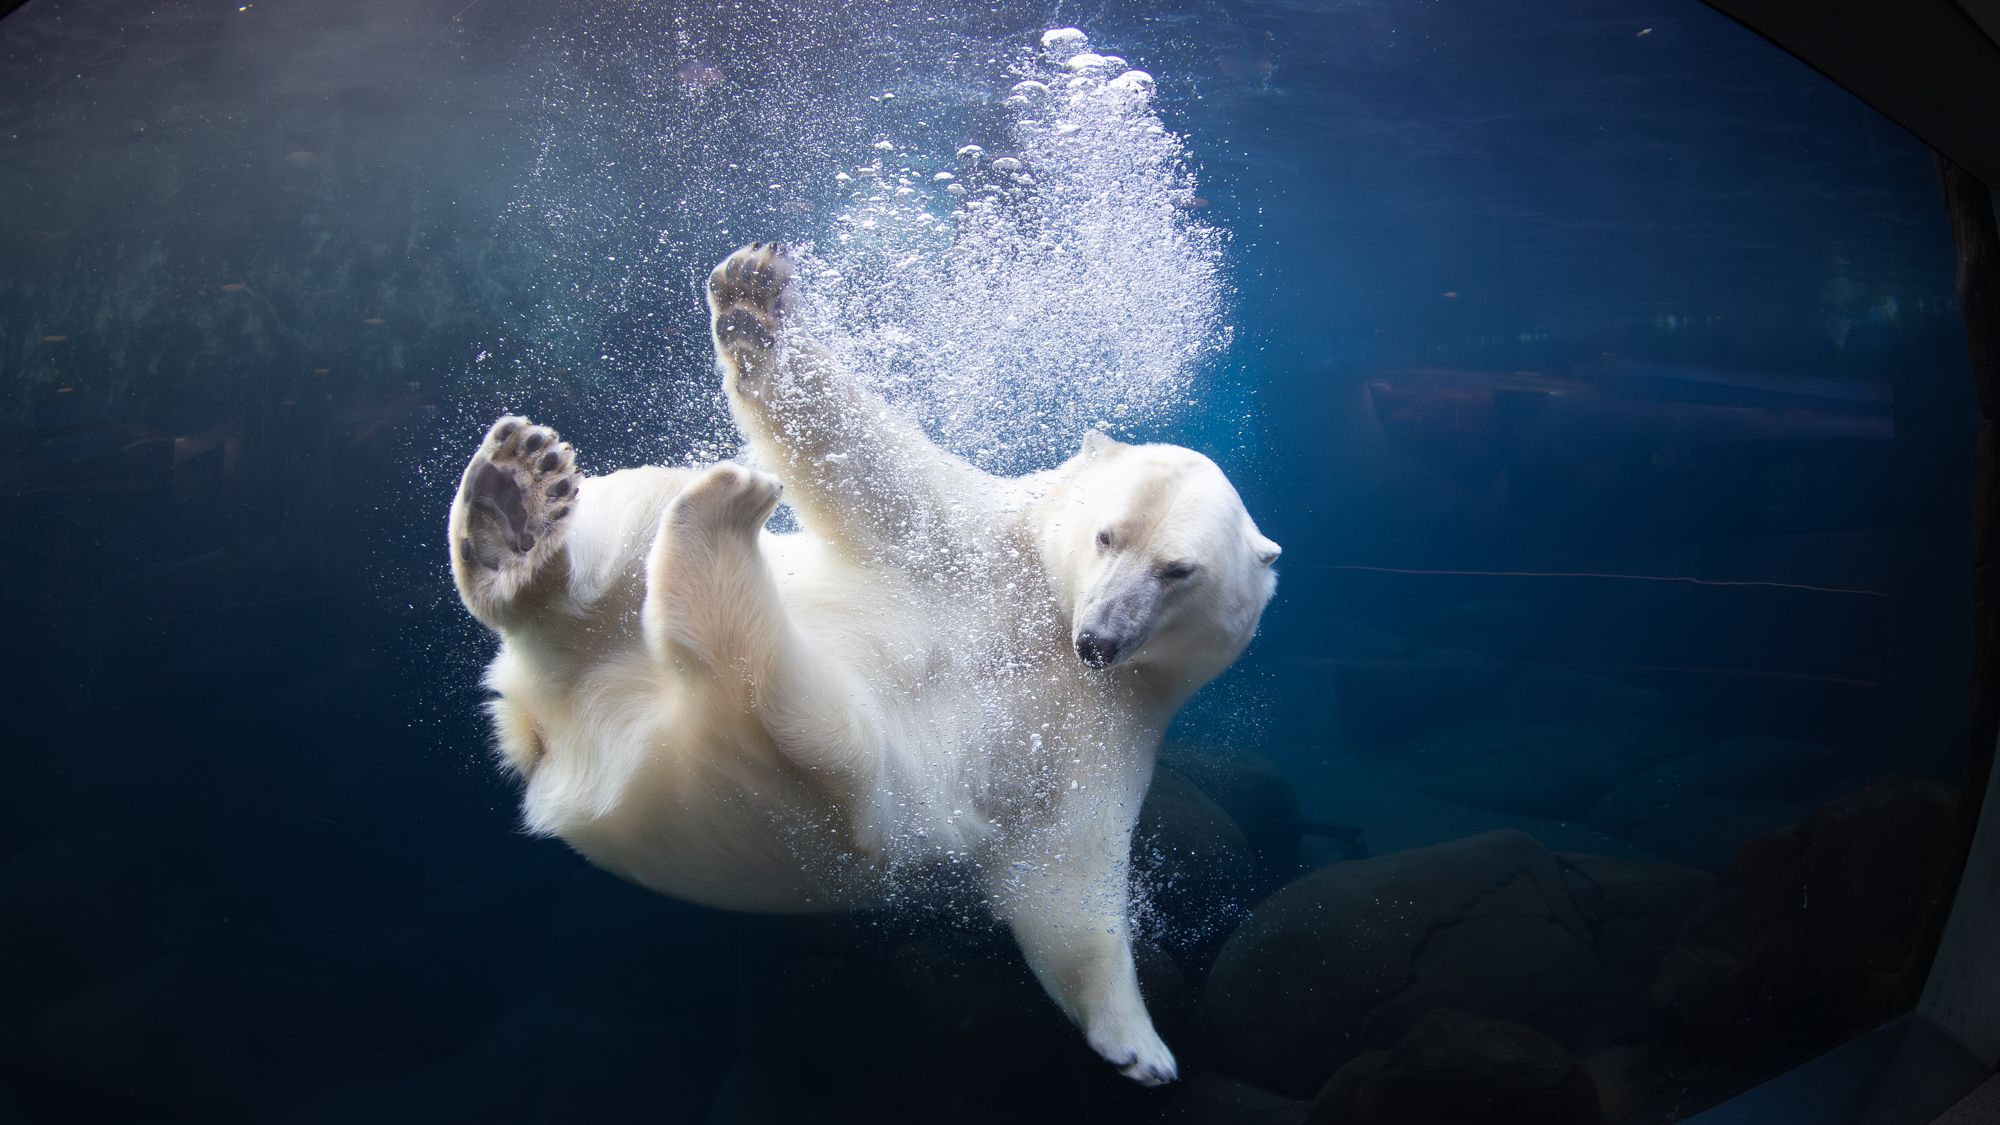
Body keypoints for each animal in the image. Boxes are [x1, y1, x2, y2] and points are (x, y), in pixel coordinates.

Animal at [446, 243, 1281, 1085]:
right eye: (1107, 534)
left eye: (1178, 570)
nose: (1099, 639)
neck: (1048, 614)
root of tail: (558, 741)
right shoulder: (982, 548)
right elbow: (876, 469)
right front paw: (752, 301)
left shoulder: (1111, 724)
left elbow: (1067, 865)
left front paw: (1141, 1048)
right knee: (634, 528)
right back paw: (540, 496)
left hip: (788, 797)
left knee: (787, 714)